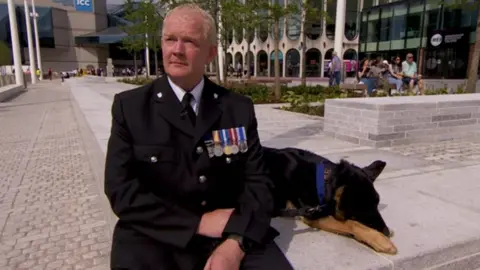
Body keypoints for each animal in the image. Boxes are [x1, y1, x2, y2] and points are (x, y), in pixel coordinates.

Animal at [262, 147, 398, 254]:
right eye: (362, 209)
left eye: (376, 204)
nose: (386, 232)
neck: (323, 179)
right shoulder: (313, 215)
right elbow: (351, 223)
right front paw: (380, 240)